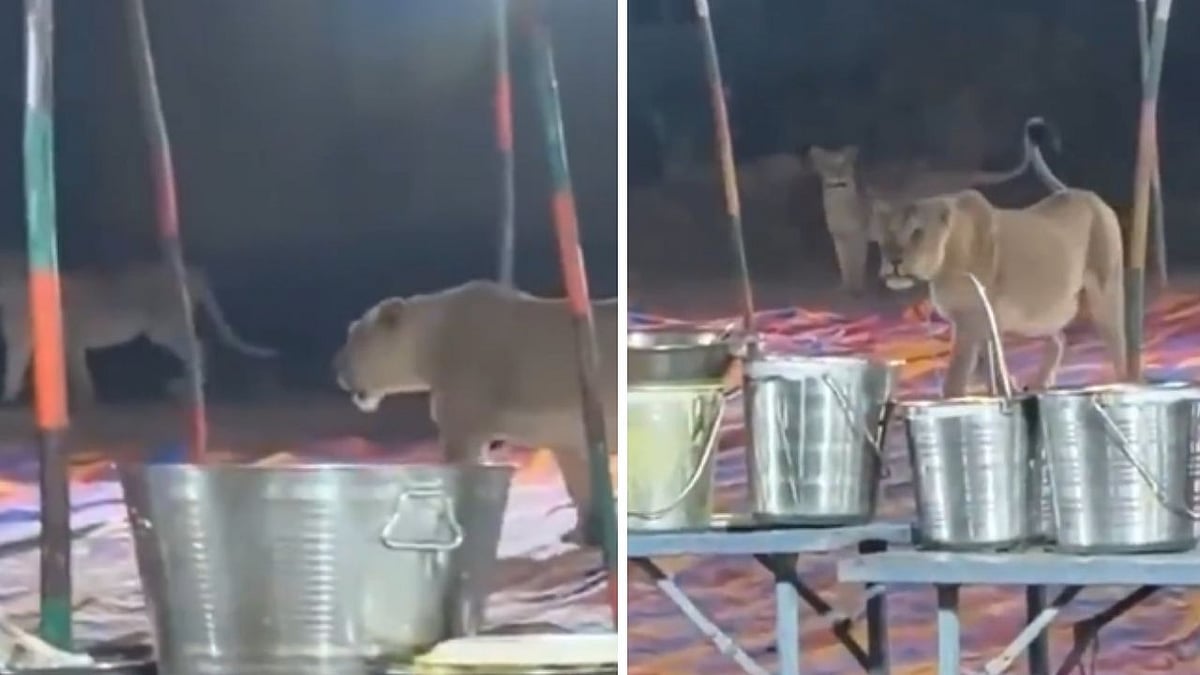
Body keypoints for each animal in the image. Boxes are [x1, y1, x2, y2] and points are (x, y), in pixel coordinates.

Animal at [0, 253, 277, 404]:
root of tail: (193, 270)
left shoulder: (67, 339)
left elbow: (75, 372)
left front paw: (85, 398)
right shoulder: (27, 343)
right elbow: (17, 367)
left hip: (164, 326)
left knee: (198, 346)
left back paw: (188, 388)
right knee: (199, 346)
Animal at [332, 280, 617, 545]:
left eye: (355, 336)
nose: (336, 369)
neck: (432, 342)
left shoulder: (463, 426)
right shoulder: (566, 438)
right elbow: (579, 484)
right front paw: (584, 534)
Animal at [809, 116, 1061, 292]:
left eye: (845, 166)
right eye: (828, 167)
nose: (838, 179)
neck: (838, 201)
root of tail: (956, 174)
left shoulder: (857, 238)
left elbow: (855, 264)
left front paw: (854, 288)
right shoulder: (841, 238)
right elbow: (844, 263)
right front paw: (844, 286)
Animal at [874, 188, 1126, 397]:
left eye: (917, 233)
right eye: (886, 235)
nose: (894, 261)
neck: (945, 263)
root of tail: (1092, 196)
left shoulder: (971, 320)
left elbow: (960, 368)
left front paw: (954, 397)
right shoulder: (978, 321)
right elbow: (990, 361)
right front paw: (1005, 389)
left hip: (1104, 293)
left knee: (1117, 343)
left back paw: (1125, 380)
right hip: (1042, 316)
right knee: (1059, 338)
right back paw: (1040, 384)